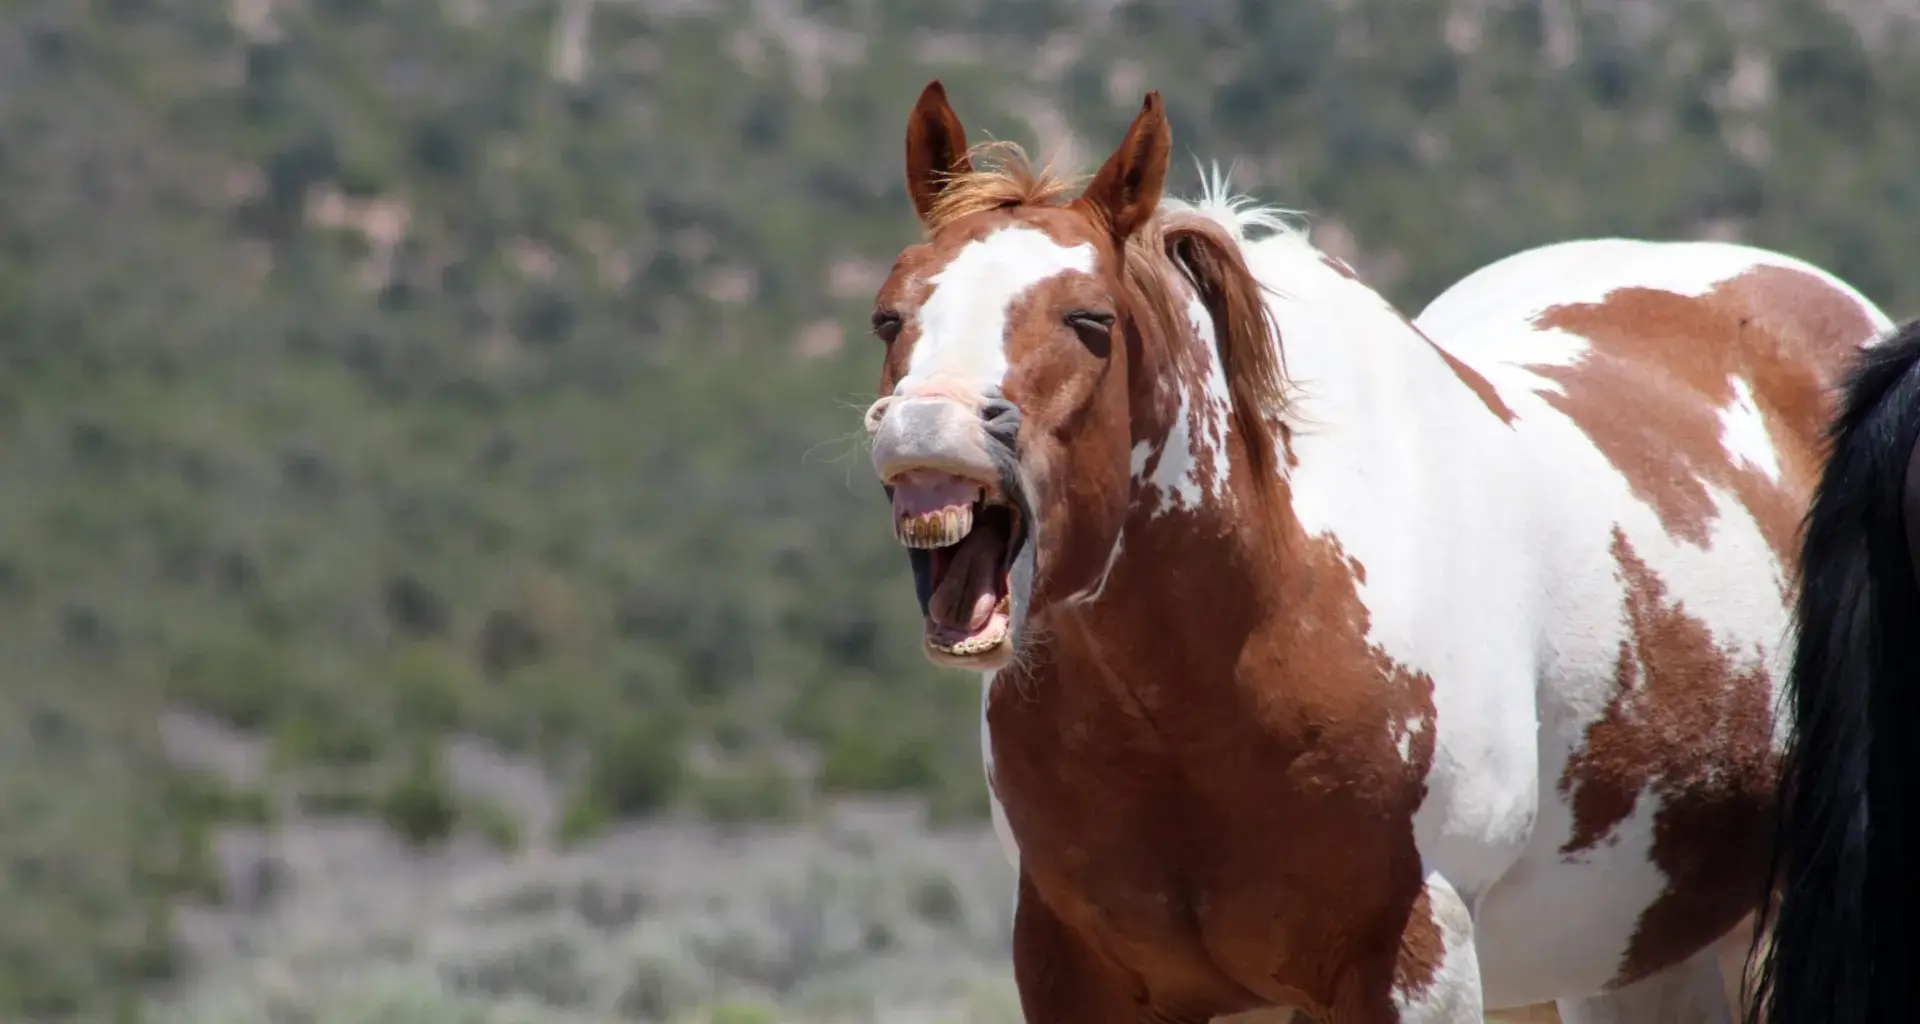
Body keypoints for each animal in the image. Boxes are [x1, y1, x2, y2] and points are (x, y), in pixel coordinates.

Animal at [856, 80, 1893, 1022]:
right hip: (1631, 961)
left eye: (1089, 322)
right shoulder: (1081, 968)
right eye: (889, 316)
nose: (927, 426)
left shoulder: (1414, 957)